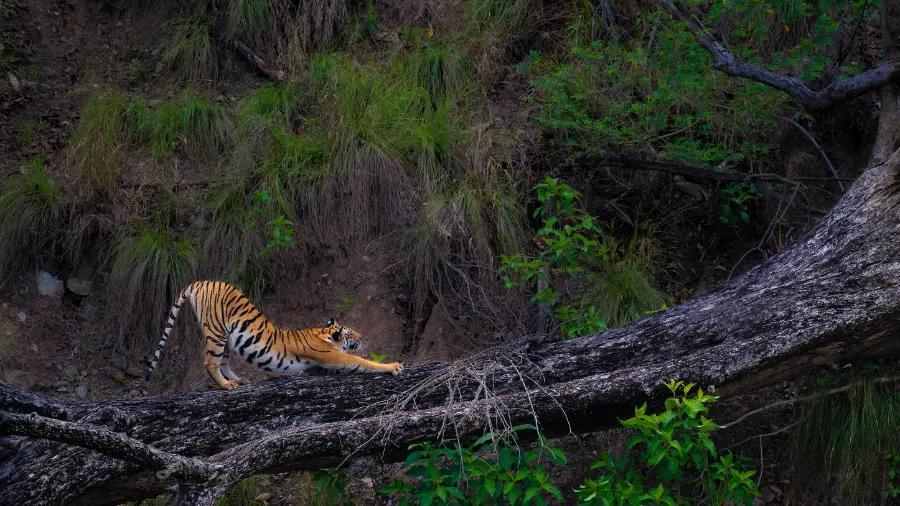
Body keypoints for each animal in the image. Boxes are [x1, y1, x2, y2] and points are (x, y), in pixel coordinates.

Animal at [145, 280, 403, 390]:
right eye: (351, 333)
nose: (362, 337)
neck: (322, 333)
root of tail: (201, 282)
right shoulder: (336, 358)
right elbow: (363, 362)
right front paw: (394, 366)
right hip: (216, 332)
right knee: (210, 361)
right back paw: (226, 386)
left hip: (227, 339)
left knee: (223, 362)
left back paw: (239, 380)